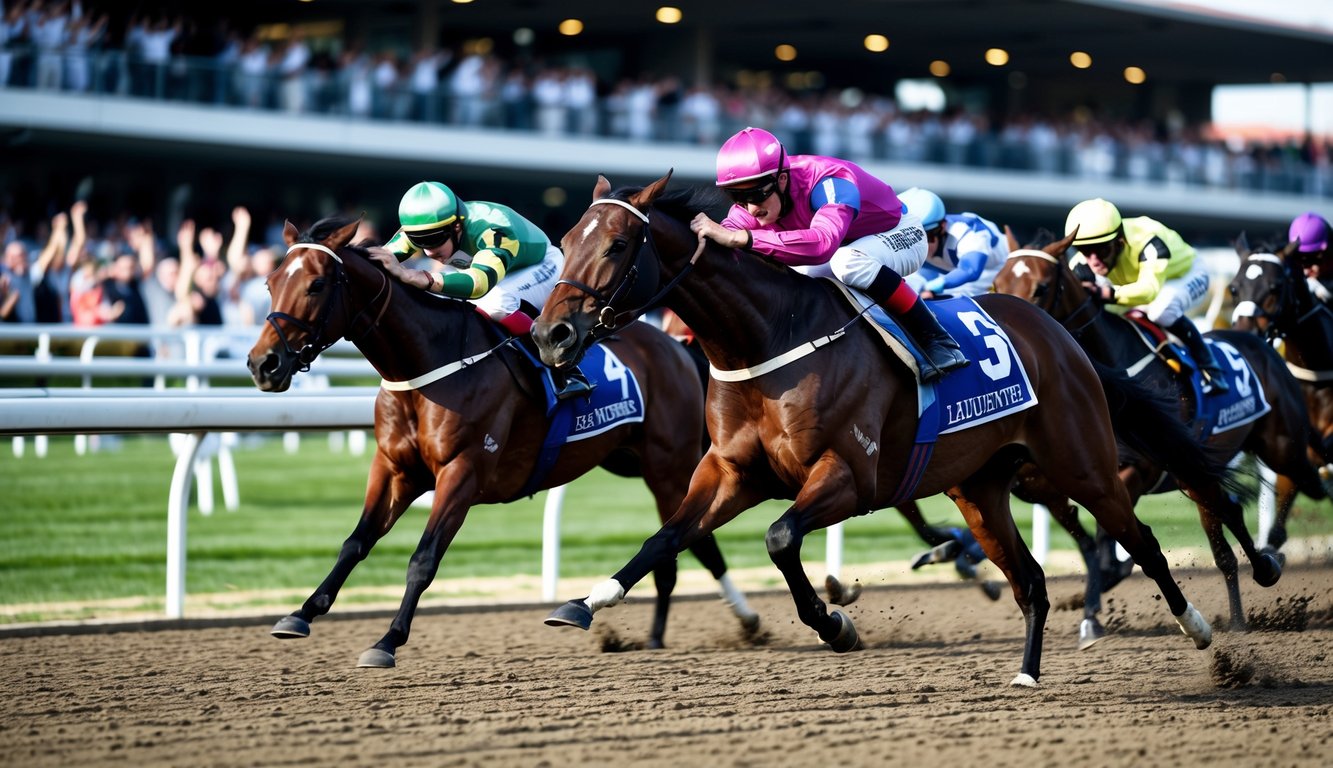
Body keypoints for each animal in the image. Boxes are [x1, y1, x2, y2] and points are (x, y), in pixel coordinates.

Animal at [247, 214, 762, 666]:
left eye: (315, 285)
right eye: (270, 283)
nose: (262, 364)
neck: (426, 366)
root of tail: (676, 346)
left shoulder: (464, 470)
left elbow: (423, 559)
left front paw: (388, 641)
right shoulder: (394, 468)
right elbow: (355, 543)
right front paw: (301, 613)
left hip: (668, 465)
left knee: (698, 541)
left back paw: (747, 620)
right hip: (627, 460)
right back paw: (656, 637)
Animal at [530, 176, 1221, 688]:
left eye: (618, 245)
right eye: (564, 239)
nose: (550, 336)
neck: (769, 338)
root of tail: (1060, 337)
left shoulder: (849, 475)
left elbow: (781, 538)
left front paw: (835, 624)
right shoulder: (730, 473)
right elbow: (666, 537)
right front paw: (587, 601)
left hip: (1083, 464)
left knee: (1139, 541)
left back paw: (1198, 628)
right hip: (980, 489)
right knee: (1029, 579)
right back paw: (1026, 673)